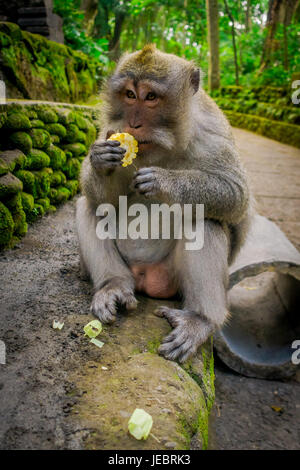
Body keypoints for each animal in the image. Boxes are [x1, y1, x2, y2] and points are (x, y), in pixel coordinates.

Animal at [77, 44, 251, 364]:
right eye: (130, 94)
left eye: (151, 97)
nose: (132, 124)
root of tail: (144, 277)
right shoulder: (110, 128)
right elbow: (102, 198)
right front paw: (100, 159)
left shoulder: (211, 129)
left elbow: (235, 194)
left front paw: (164, 181)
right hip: (126, 268)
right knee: (90, 205)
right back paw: (113, 285)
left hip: (171, 278)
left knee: (204, 219)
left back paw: (199, 319)